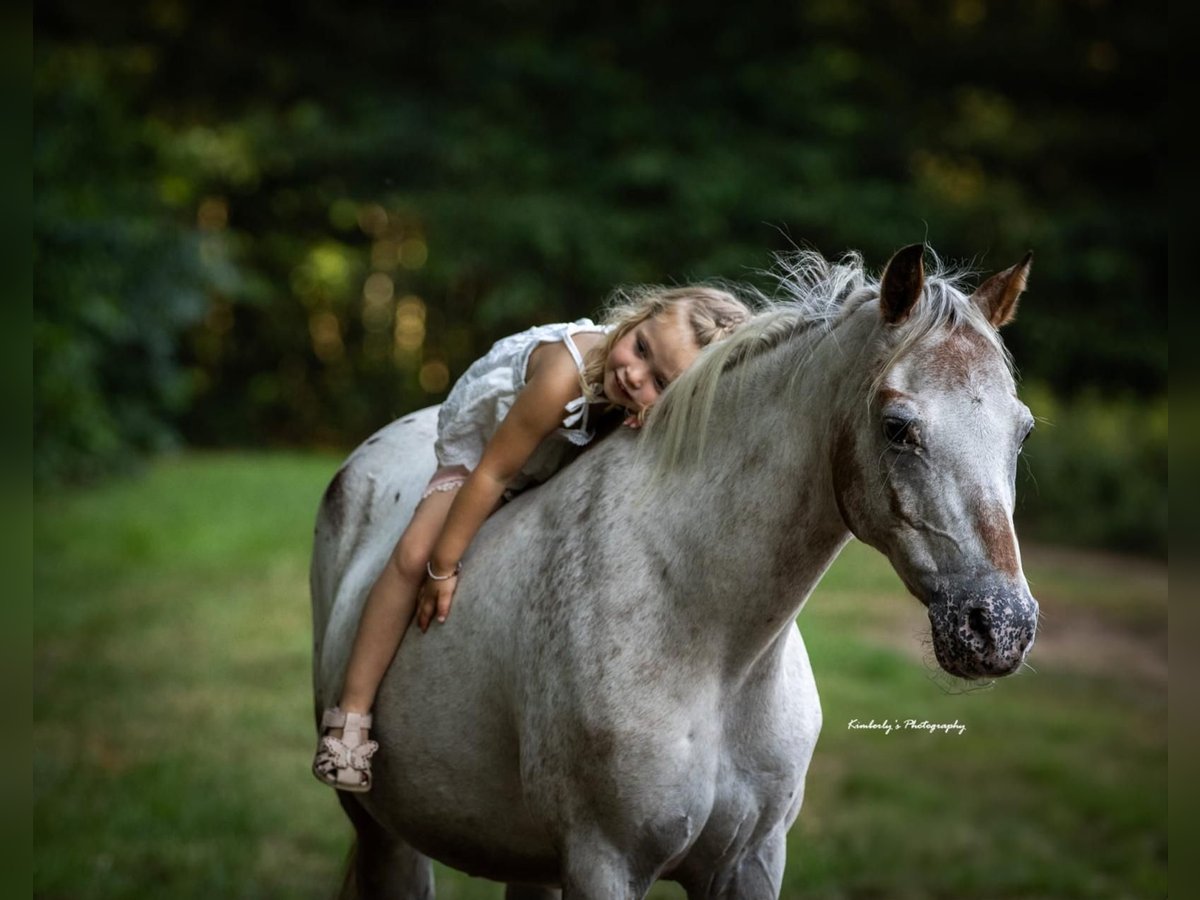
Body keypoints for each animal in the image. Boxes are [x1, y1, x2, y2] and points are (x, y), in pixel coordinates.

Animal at [310, 244, 1039, 899]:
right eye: (896, 426)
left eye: (1023, 431)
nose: (1000, 626)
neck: (711, 641)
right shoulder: (605, 866)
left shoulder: (750, 862)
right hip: (385, 835)